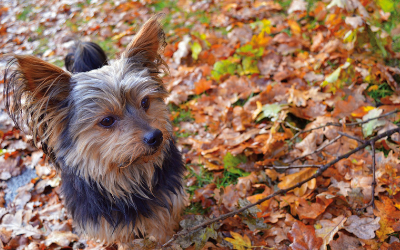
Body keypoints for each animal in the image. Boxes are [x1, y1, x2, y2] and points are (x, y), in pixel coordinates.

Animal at [3, 14, 188, 247]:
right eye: (107, 120)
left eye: (145, 102)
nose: (156, 137)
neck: (127, 179)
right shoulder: (111, 227)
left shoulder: (165, 210)